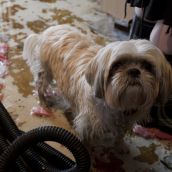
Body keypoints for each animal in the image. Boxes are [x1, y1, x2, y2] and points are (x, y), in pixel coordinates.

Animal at [23, 23, 172, 148]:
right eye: (117, 65)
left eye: (147, 66)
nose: (134, 71)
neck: (117, 106)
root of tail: (50, 30)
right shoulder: (86, 123)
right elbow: (84, 140)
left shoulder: (125, 123)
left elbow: (120, 135)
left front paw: (120, 146)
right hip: (45, 72)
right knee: (40, 88)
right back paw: (43, 103)